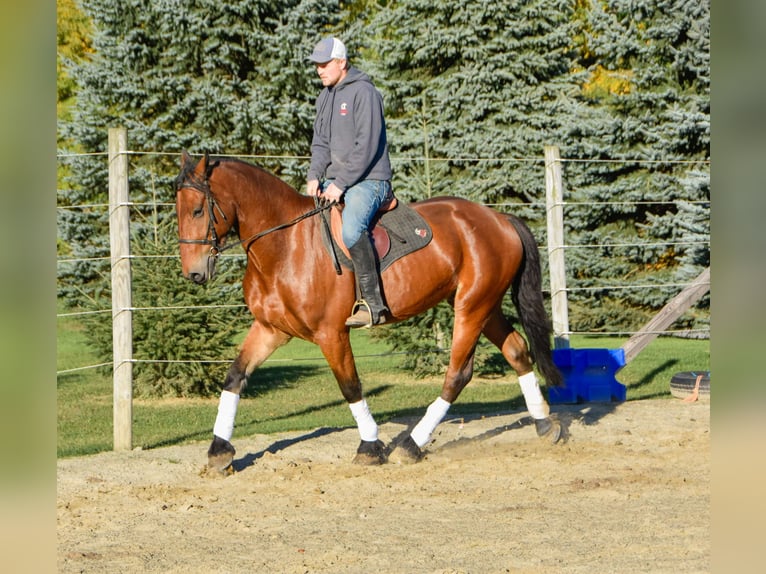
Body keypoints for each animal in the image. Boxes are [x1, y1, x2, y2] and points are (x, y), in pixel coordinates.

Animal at [176, 153, 564, 472]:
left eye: (198, 210)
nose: (193, 274)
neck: (285, 246)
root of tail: (499, 218)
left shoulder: (331, 333)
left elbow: (350, 386)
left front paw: (370, 447)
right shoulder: (271, 329)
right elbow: (235, 377)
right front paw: (219, 451)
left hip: (471, 307)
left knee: (458, 373)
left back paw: (411, 444)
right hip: (486, 306)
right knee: (516, 350)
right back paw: (545, 424)